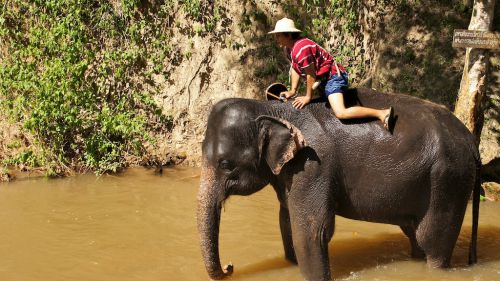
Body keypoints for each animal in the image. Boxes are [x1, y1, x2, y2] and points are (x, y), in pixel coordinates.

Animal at [195, 87, 480, 280]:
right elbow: (286, 222)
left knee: (433, 241)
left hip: (449, 180)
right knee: (414, 234)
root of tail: (472, 142)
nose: (230, 266)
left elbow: (312, 231)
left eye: (225, 164)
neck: (270, 109)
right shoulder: (290, 171)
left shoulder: (313, 165)